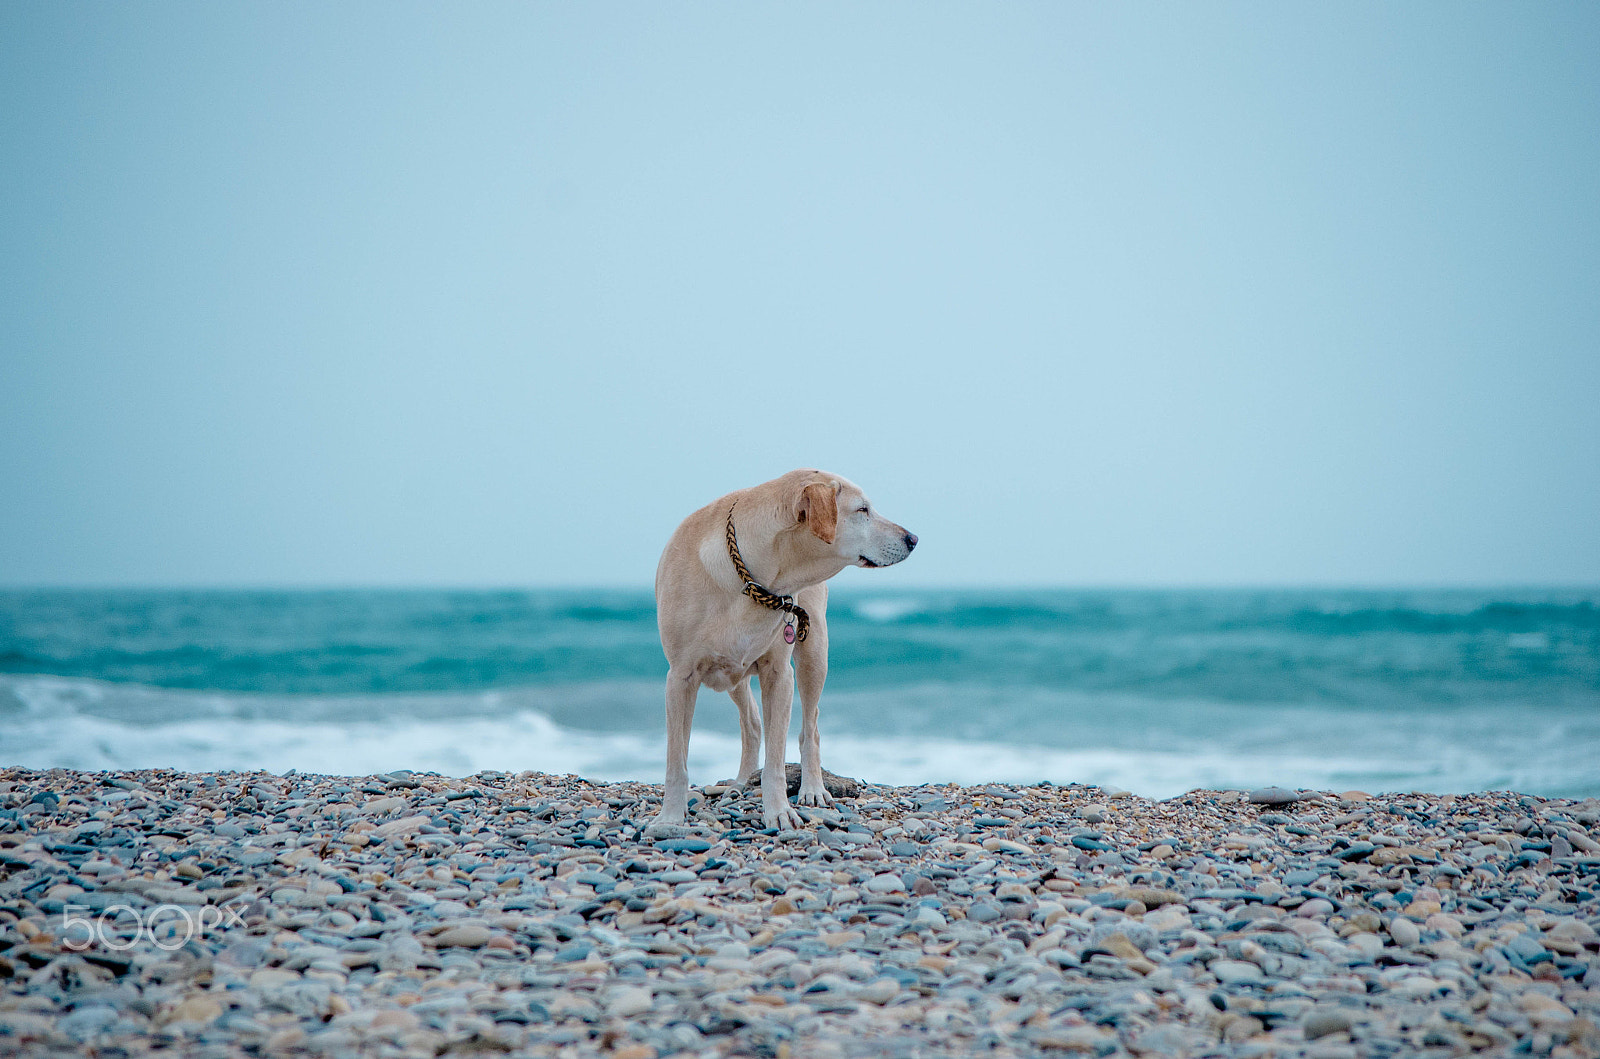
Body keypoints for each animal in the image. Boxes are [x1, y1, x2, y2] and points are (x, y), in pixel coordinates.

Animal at [649, 470, 915, 831]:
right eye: (863, 510)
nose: (913, 538)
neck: (752, 581)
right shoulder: (680, 677)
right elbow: (676, 760)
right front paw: (670, 818)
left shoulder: (779, 676)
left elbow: (776, 759)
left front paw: (777, 811)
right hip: (733, 674)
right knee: (751, 723)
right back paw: (740, 783)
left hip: (814, 655)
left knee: (810, 729)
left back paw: (812, 789)